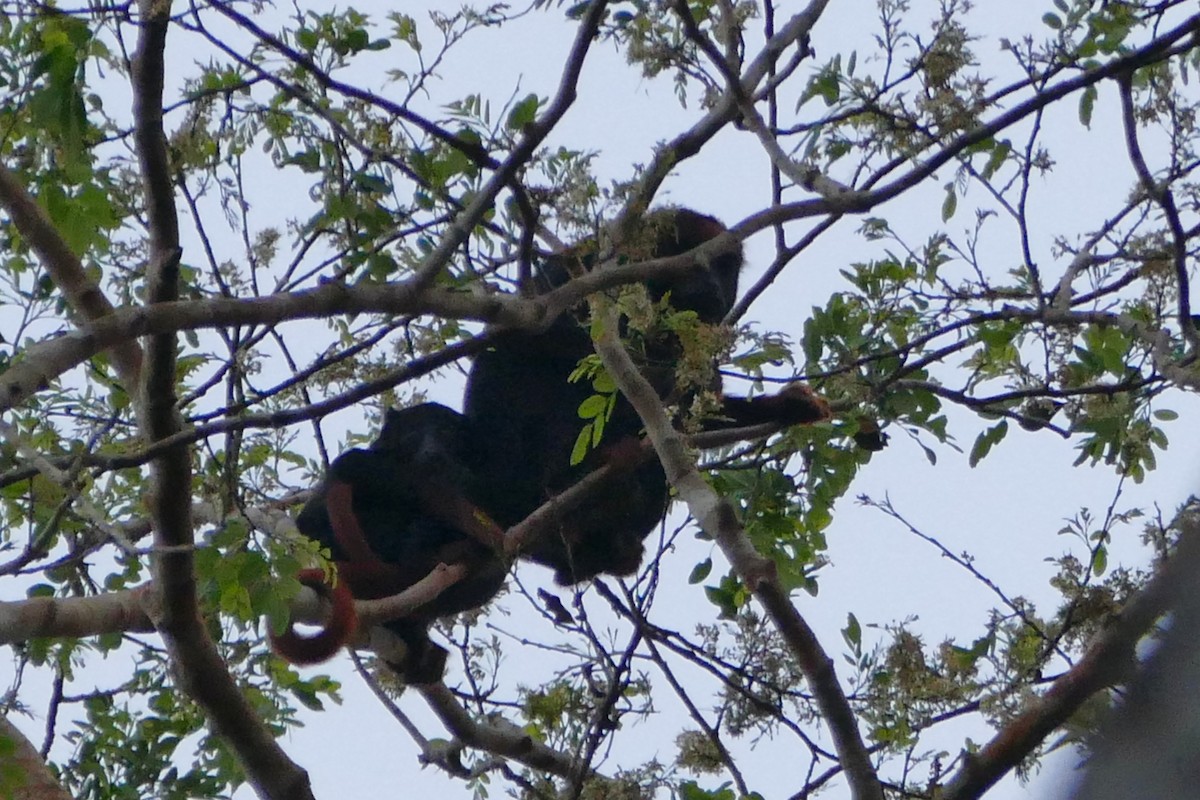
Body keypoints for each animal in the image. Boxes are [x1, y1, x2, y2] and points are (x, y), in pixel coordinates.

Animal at [464, 207, 831, 585]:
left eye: (724, 267)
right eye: (685, 254)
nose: (712, 285)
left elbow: (698, 416)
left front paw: (787, 405)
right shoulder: (584, 267)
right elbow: (531, 334)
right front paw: (669, 375)